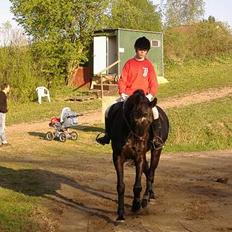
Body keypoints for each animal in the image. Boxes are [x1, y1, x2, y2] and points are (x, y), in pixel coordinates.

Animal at [106, 89, 169, 221]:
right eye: (134, 120)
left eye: (150, 122)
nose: (139, 145)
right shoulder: (118, 157)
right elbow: (121, 186)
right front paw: (120, 214)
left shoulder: (139, 157)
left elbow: (137, 186)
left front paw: (136, 205)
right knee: (148, 171)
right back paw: (150, 195)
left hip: (156, 151)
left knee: (151, 173)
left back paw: (146, 198)